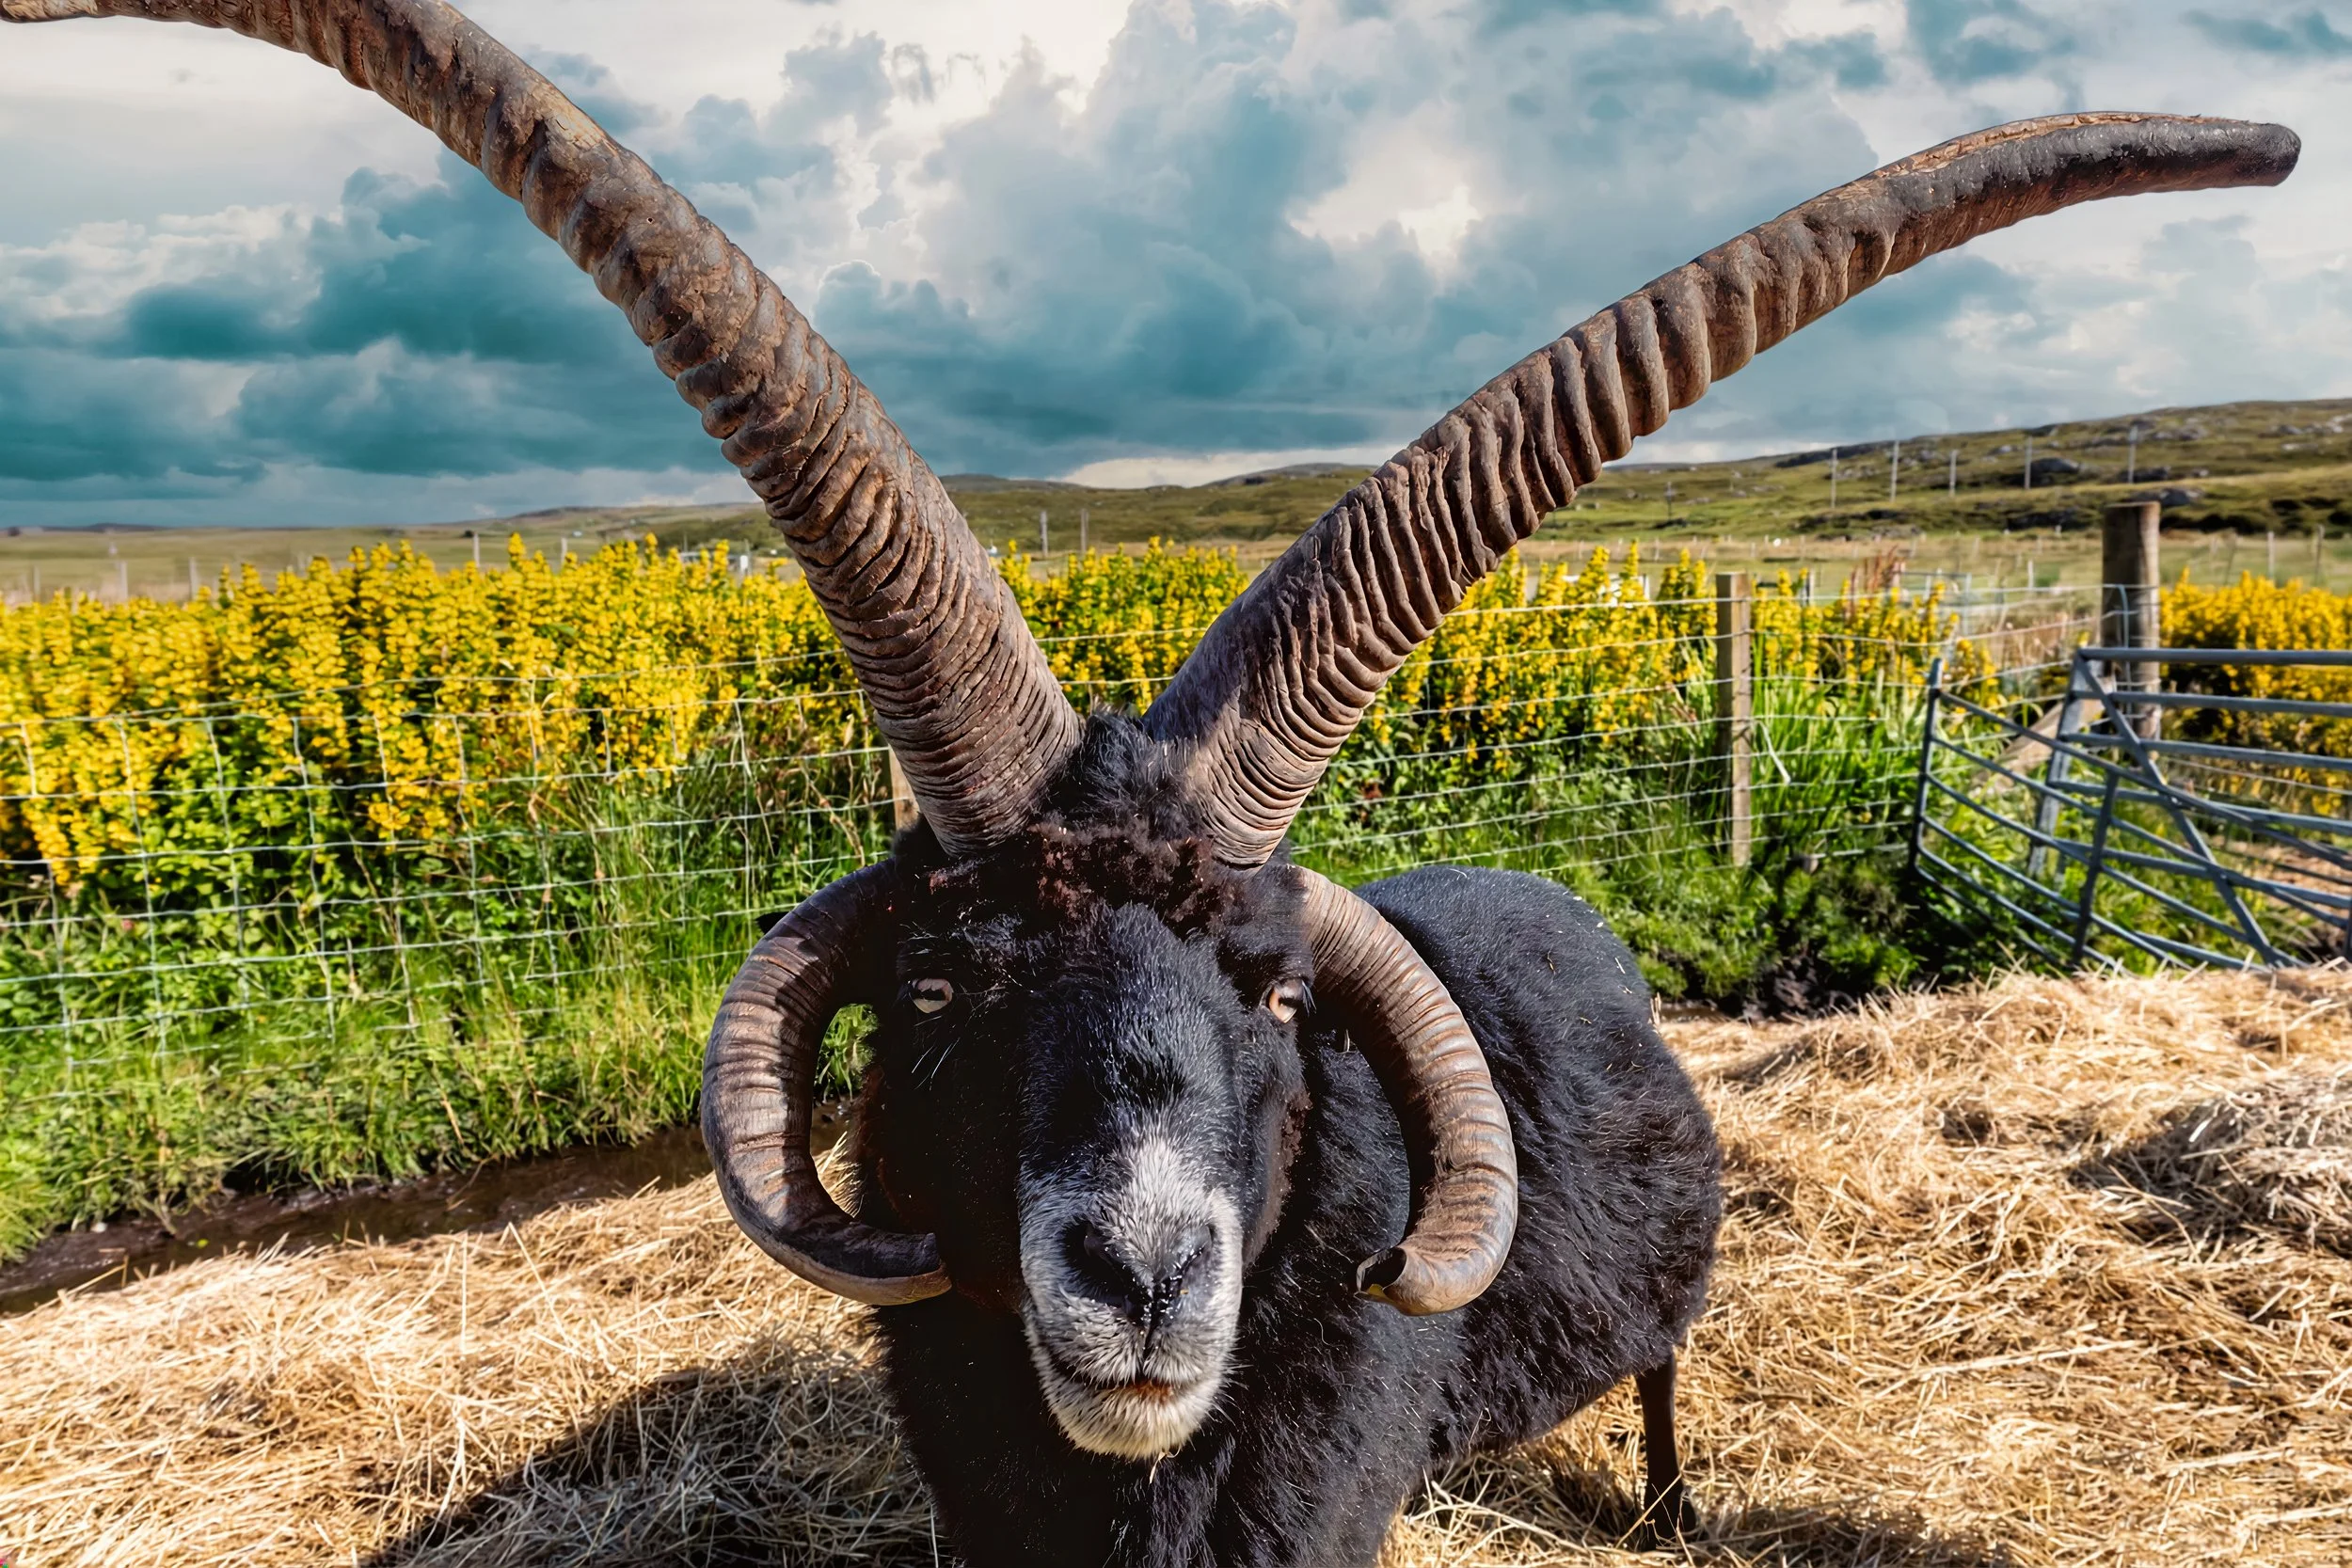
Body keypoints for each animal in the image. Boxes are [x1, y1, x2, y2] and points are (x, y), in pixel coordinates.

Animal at [4, 4, 2298, 1562]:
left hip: (1666, 1301)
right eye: (937, 988)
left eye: (1273, 993)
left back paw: (1664, 1500)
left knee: (1659, 1373)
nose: (1138, 1278)